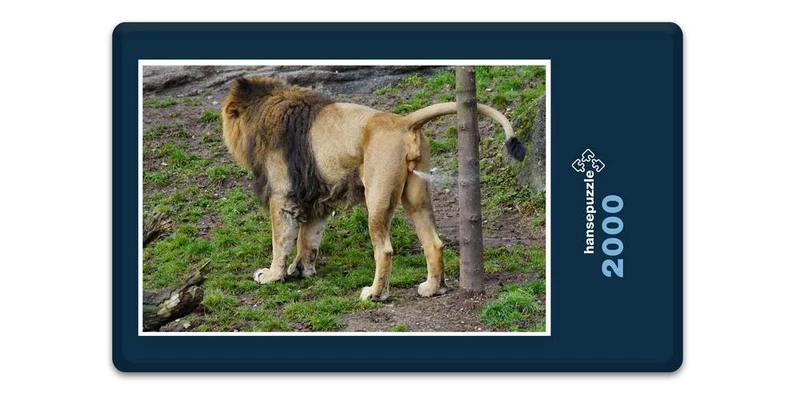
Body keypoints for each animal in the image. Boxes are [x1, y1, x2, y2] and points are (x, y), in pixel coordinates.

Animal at [221, 76, 525, 301]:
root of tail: (403, 121)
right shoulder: (316, 198)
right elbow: (308, 238)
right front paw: (301, 270)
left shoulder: (282, 195)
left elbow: (281, 240)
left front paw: (272, 275)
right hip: (417, 197)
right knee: (434, 243)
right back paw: (433, 288)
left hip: (377, 196)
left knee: (385, 250)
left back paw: (375, 294)